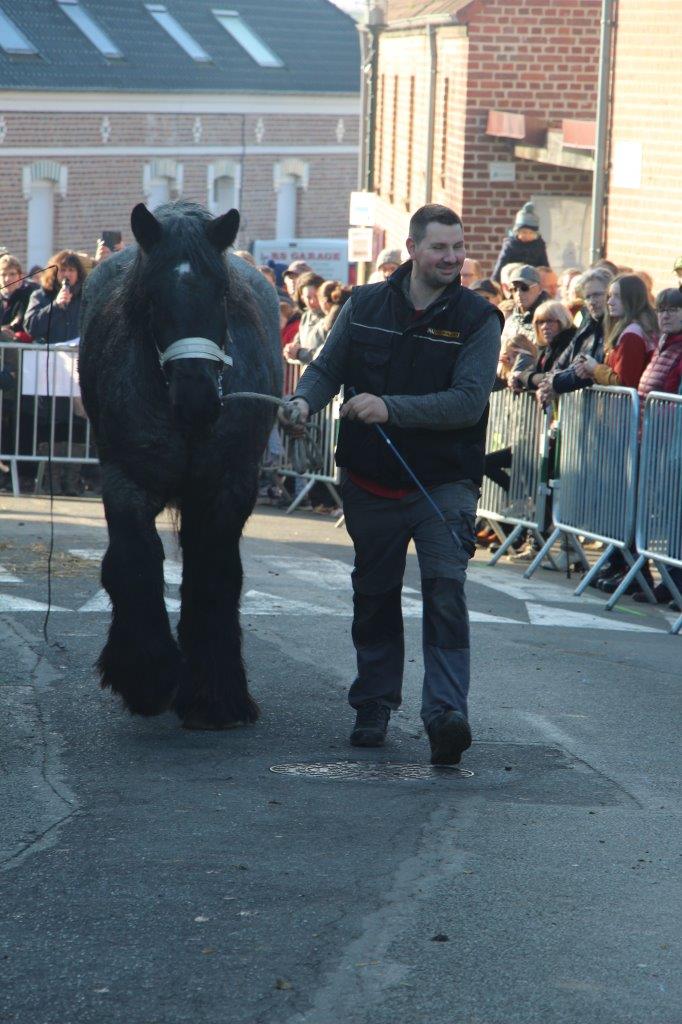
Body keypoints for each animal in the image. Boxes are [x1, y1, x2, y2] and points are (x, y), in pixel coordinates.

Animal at [78, 199, 280, 729]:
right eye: (152, 295)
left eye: (222, 291)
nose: (198, 399)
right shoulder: (125, 483)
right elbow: (134, 563)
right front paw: (146, 676)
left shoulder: (227, 489)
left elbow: (214, 575)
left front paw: (214, 697)